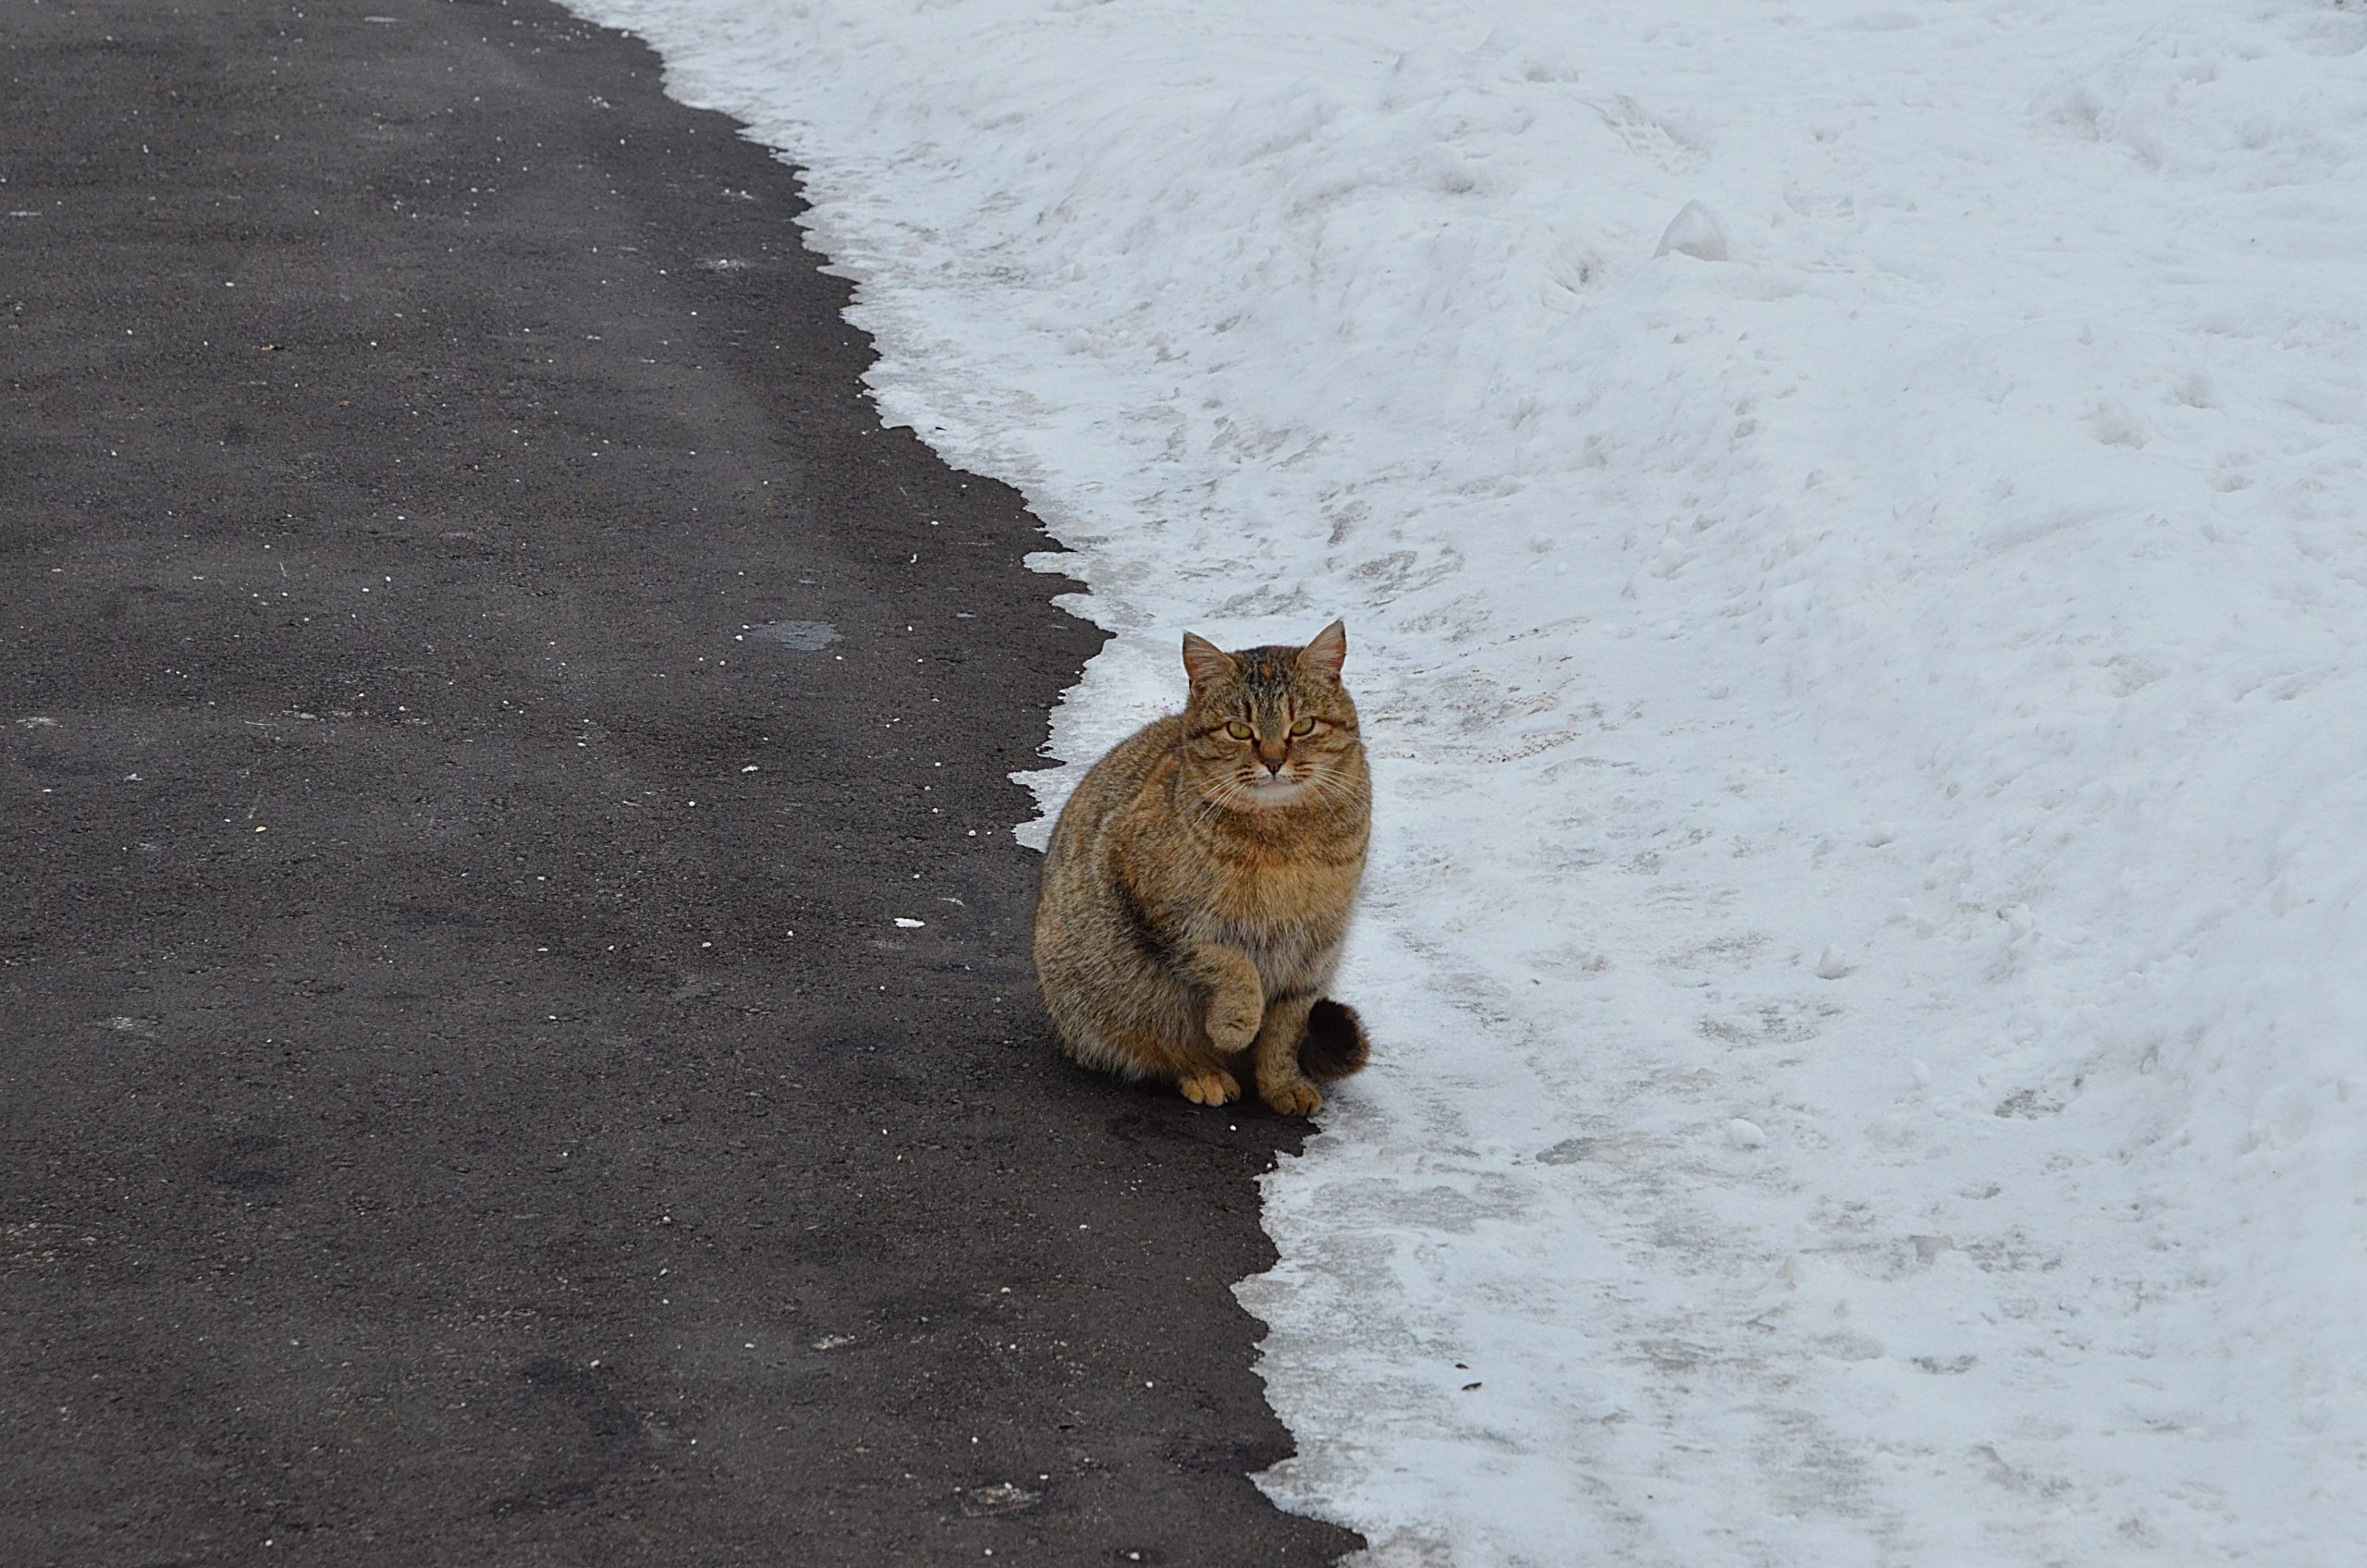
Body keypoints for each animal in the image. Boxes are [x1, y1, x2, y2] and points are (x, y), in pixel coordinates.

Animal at [1032, 616, 1372, 1118]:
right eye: (1238, 731)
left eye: (1304, 725)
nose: (1274, 761)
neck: (1283, 839)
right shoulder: (1162, 909)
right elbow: (1229, 966)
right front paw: (1236, 1021)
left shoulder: (1314, 949)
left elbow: (1285, 1028)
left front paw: (1282, 1083)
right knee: (1157, 1046)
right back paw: (1202, 1072)